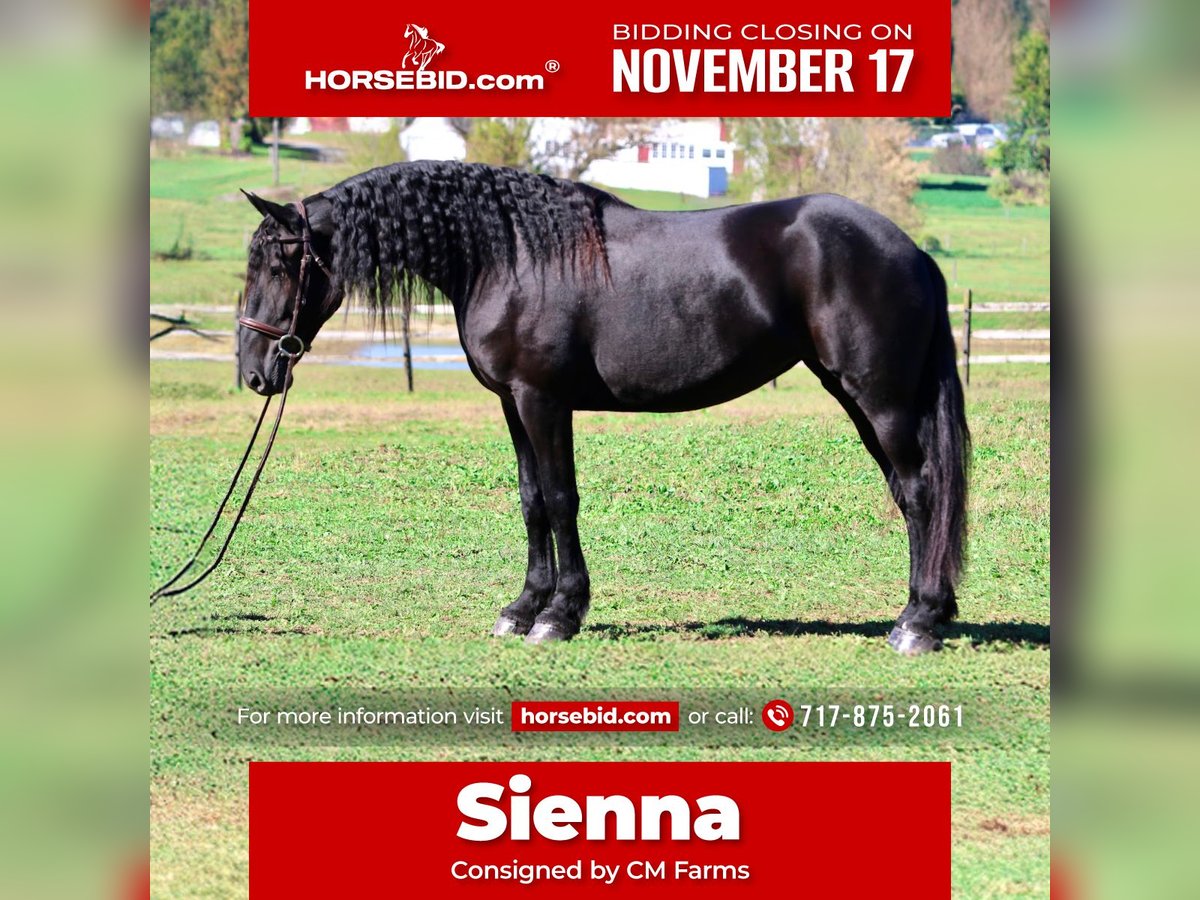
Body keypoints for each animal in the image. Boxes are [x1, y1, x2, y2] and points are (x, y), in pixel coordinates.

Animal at [237, 161, 969, 655]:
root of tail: (911, 251)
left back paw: (916, 623)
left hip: (880, 398)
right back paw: (929, 612)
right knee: (915, 493)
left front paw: (560, 616)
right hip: (861, 396)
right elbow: (532, 500)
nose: (254, 372)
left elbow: (562, 499)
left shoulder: (543, 401)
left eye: (277, 265)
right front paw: (521, 608)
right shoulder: (513, 404)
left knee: (918, 492)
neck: (509, 254)